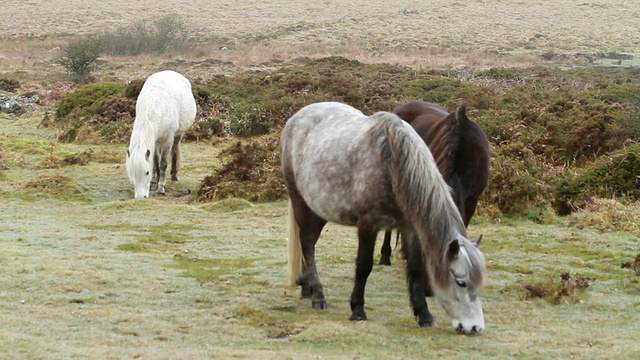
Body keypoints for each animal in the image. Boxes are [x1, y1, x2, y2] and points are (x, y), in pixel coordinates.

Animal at [124, 69, 195, 200]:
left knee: (175, 150)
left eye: (146, 172)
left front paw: (161, 189)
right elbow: (155, 162)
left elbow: (162, 164)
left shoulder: (168, 139)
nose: (140, 197)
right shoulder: (155, 140)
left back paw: (173, 175)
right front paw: (156, 181)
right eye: (131, 173)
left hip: (178, 134)